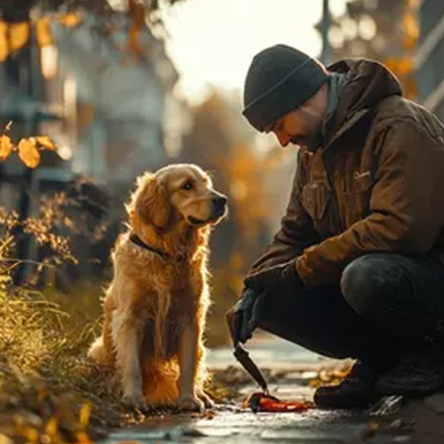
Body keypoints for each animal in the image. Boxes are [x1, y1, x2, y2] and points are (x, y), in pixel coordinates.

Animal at [88, 165, 227, 412]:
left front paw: (189, 399)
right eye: (187, 186)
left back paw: (202, 396)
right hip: (97, 351)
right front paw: (134, 399)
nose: (223, 200)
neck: (167, 254)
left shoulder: (190, 318)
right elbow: (132, 365)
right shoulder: (130, 317)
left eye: (206, 183)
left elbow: (188, 367)